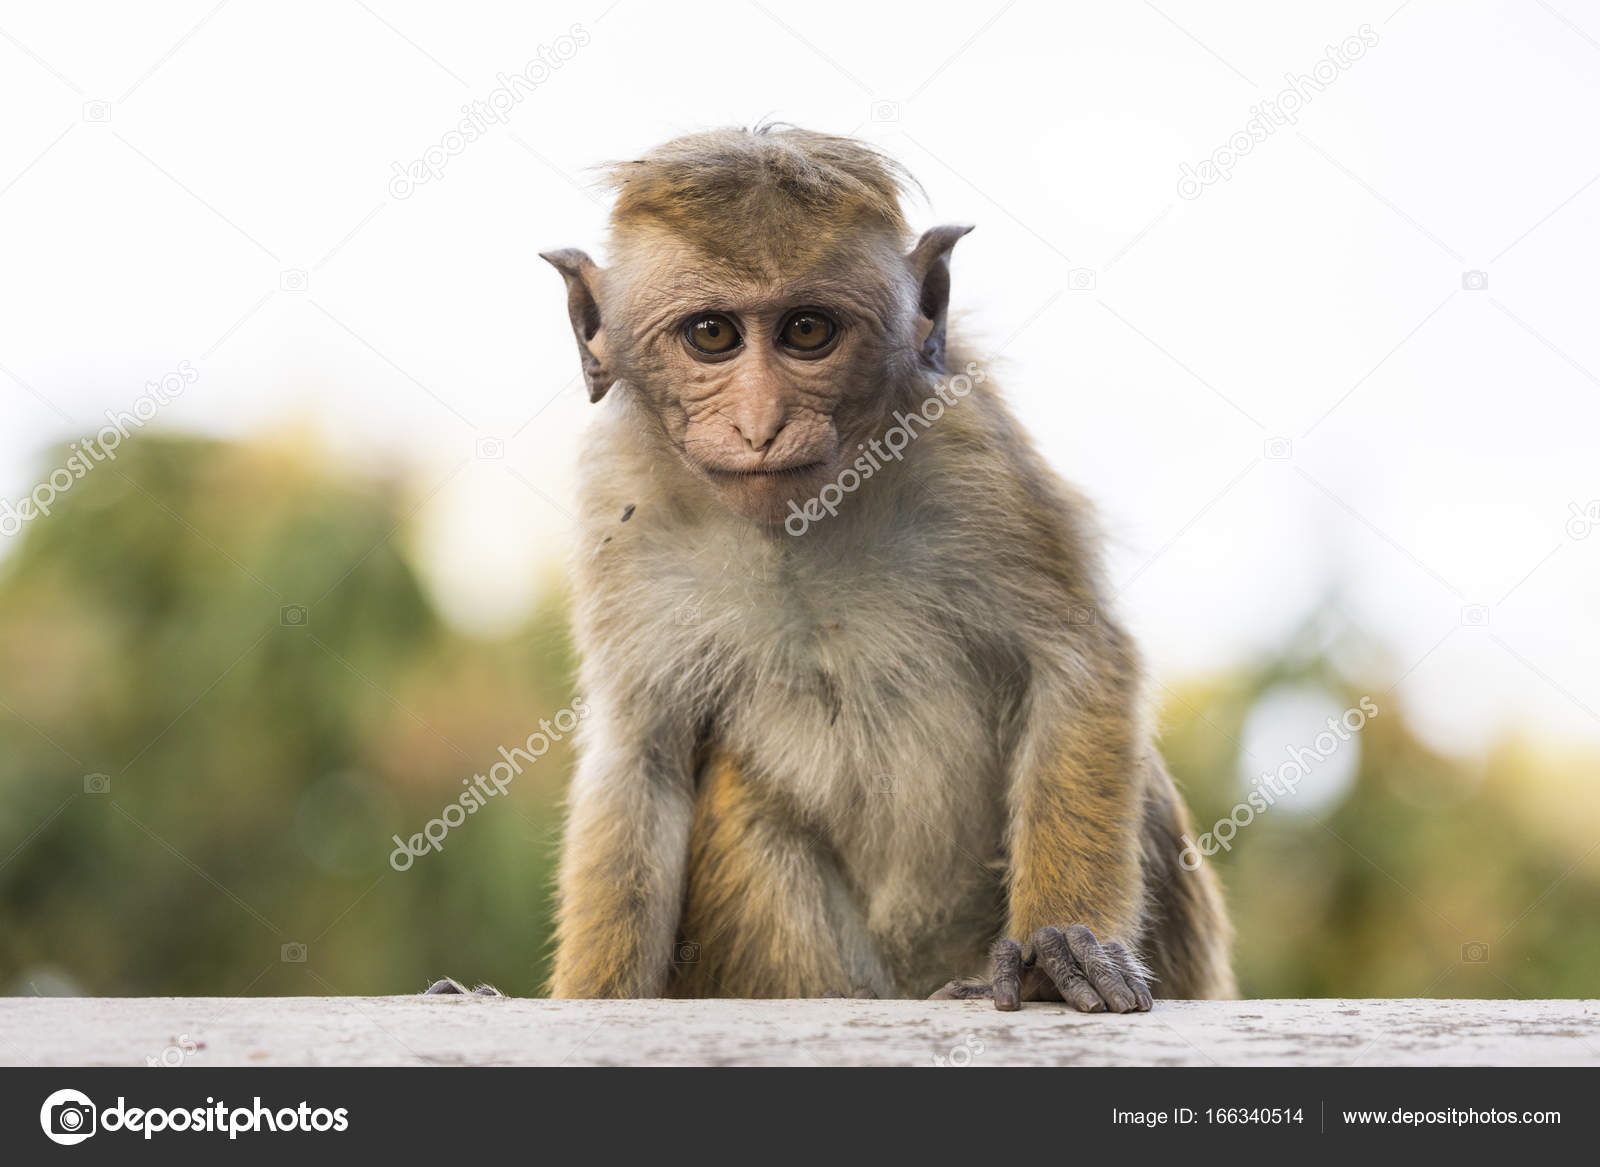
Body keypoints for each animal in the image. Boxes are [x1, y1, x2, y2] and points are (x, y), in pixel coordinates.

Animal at [518, 123, 1228, 1005]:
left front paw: (1063, 945)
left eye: (807, 331)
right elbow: (640, 757)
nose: (761, 424)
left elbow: (1076, 663)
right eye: (711, 335)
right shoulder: (619, 505)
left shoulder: (970, 447)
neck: (799, 524)